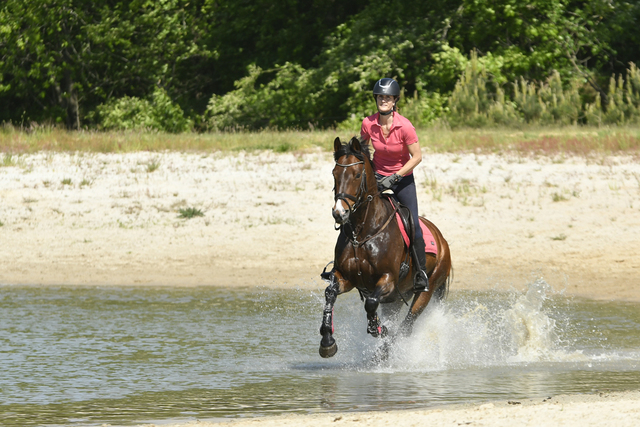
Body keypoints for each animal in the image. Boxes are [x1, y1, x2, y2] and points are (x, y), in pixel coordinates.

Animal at [318, 137, 450, 358]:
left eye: (357, 175)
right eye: (334, 174)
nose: (339, 213)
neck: (363, 232)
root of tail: (442, 240)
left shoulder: (388, 279)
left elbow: (371, 302)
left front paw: (378, 328)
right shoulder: (345, 277)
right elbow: (330, 294)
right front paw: (327, 341)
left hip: (426, 290)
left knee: (407, 326)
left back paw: (386, 350)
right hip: (396, 299)